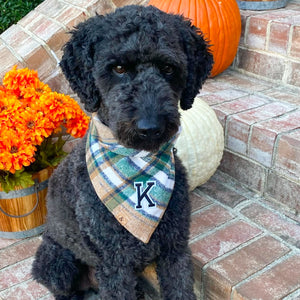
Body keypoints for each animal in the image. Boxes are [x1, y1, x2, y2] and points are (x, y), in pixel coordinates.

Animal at [31, 4, 212, 300]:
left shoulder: (175, 248)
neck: (137, 164)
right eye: (118, 68)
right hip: (56, 262)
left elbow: (181, 288)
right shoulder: (115, 265)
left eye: (168, 67)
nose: (150, 128)